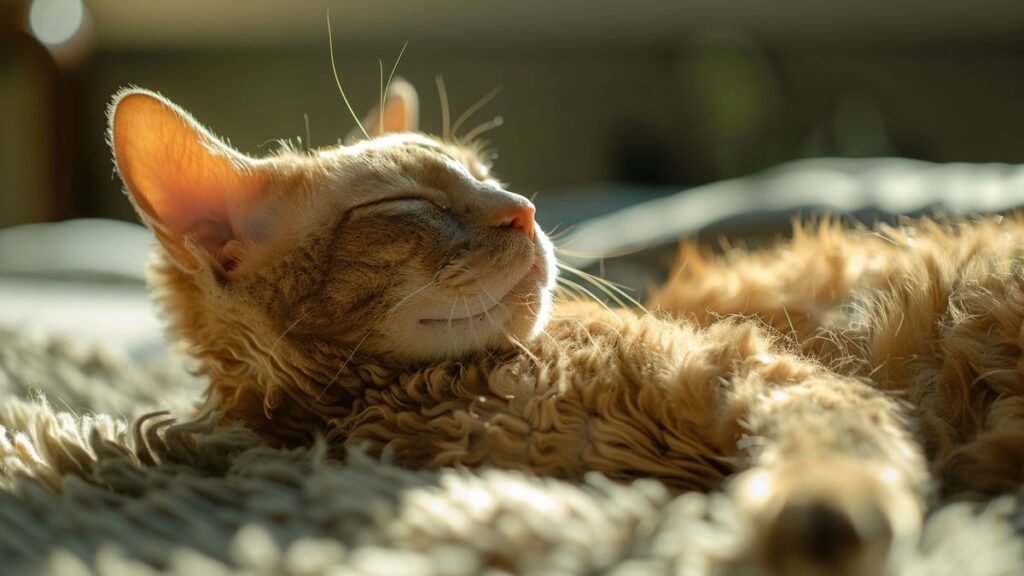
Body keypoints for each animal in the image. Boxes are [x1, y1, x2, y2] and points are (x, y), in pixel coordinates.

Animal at [110, 81, 1024, 573]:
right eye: (407, 204)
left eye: (483, 173)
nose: (524, 209)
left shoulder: (778, 372)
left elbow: (842, 451)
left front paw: (822, 518)